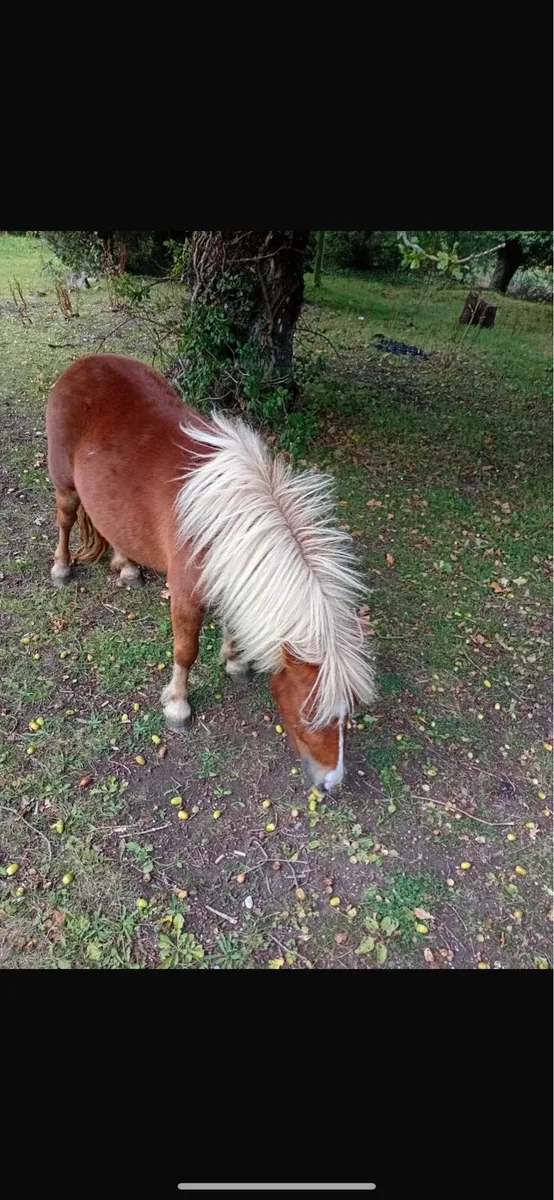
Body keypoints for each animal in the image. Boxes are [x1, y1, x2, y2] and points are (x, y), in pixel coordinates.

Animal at [46, 354, 376, 792]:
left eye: (349, 712)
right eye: (310, 715)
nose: (332, 782)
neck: (231, 521)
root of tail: (85, 364)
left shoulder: (231, 573)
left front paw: (235, 661)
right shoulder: (186, 596)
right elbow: (185, 653)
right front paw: (178, 706)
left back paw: (128, 567)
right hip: (65, 484)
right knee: (66, 519)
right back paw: (62, 567)